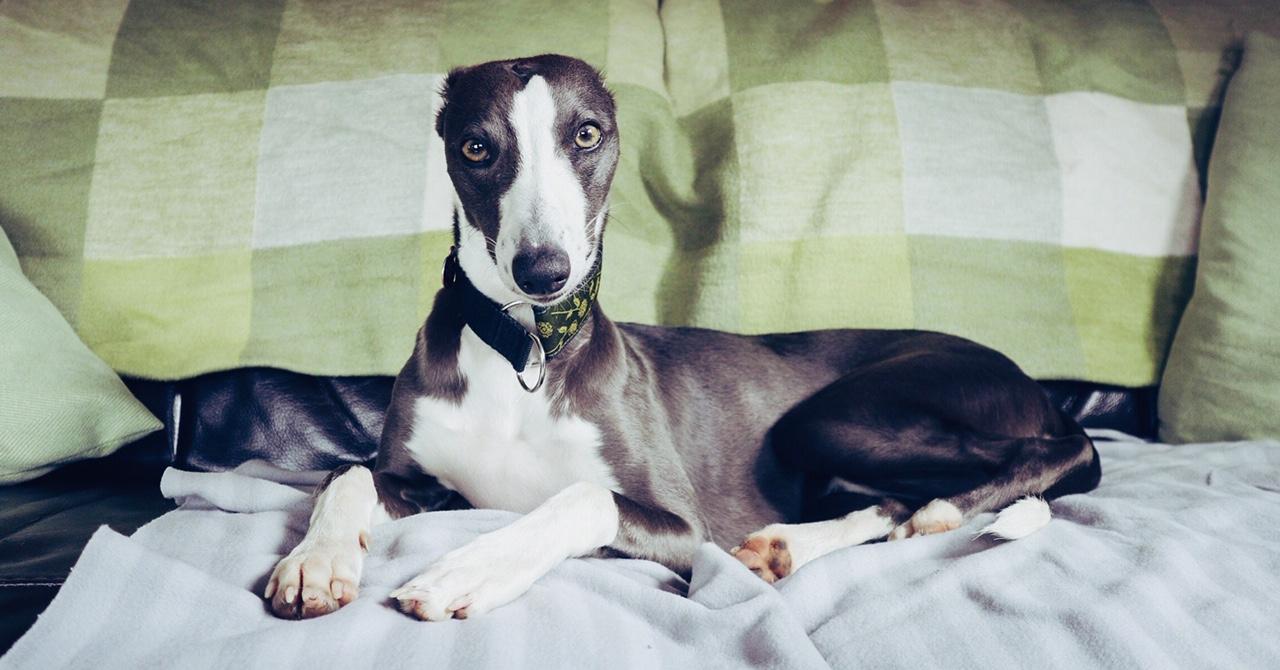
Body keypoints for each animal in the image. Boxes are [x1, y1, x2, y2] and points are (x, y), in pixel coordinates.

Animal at [262, 55, 1100, 622]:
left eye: (587, 134)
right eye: (475, 147)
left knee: (1057, 451)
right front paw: (315, 563)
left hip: (838, 415)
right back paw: (788, 545)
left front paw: (467, 571)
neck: (525, 353)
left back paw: (943, 512)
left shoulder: (680, 523)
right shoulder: (422, 481)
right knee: (891, 501)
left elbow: (582, 497)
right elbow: (347, 472)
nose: (544, 271)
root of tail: (1029, 381)